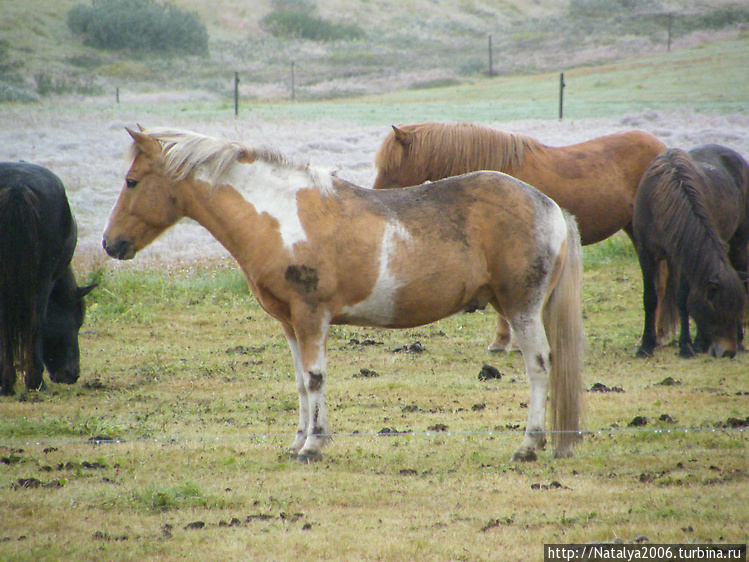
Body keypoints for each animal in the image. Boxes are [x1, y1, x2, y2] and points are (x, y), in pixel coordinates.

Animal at [102, 127, 588, 460]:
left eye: (131, 181)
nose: (111, 243)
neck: (280, 216)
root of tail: (550, 206)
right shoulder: (290, 323)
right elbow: (301, 381)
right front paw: (298, 440)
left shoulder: (310, 315)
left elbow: (316, 377)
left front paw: (313, 447)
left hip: (522, 308)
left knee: (539, 366)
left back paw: (529, 444)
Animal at [632, 142, 748, 356]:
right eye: (717, 310)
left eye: (735, 309)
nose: (728, 352)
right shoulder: (646, 253)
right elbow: (650, 298)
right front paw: (646, 345)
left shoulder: (684, 257)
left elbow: (682, 299)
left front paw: (686, 345)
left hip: (740, 241)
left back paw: (734, 339)